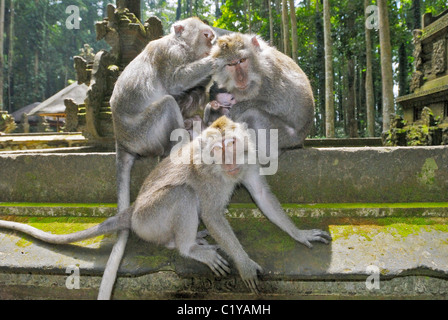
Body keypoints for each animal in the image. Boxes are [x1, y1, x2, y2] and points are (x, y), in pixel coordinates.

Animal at [0, 117, 332, 296]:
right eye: (217, 151)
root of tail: (132, 210)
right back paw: (188, 247)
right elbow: (212, 214)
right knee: (184, 194)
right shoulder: (207, 179)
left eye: (231, 146)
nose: (228, 162)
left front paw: (300, 234)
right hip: (149, 219)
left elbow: (261, 195)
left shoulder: (248, 163)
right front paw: (245, 264)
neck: (223, 172)